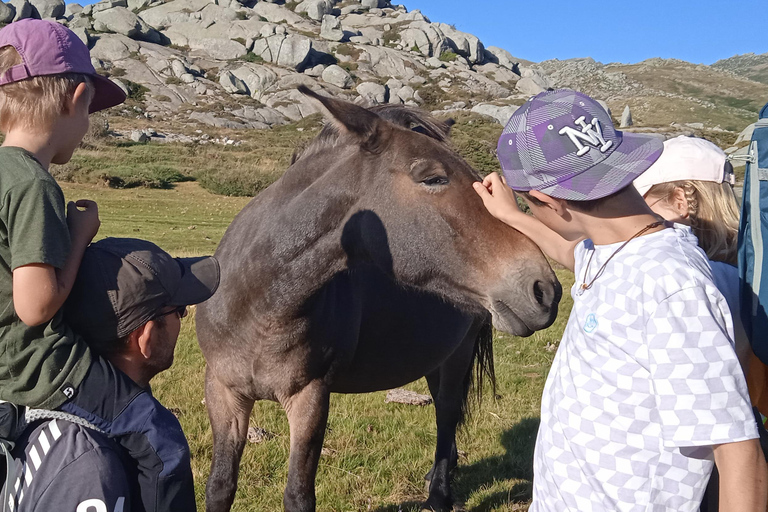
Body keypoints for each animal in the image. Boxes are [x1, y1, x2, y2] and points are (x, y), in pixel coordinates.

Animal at [195, 88, 560, 512]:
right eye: (433, 178)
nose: (544, 289)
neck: (259, 302)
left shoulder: (310, 398)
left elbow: (298, 494)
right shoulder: (223, 392)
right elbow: (220, 485)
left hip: (457, 355)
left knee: (447, 413)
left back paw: (439, 494)